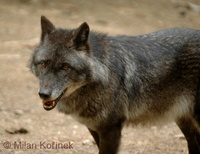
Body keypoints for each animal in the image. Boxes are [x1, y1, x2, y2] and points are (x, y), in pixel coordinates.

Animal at [28, 15, 200, 154]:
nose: (43, 94)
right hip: (184, 121)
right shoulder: (94, 128)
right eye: (43, 64)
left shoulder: (111, 129)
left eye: (65, 67)